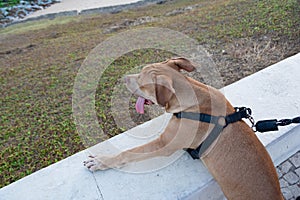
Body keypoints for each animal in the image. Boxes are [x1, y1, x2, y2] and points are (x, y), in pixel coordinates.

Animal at [85, 57, 284, 198]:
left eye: (141, 82)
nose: (123, 78)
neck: (192, 97)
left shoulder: (163, 144)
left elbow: (127, 153)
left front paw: (101, 161)